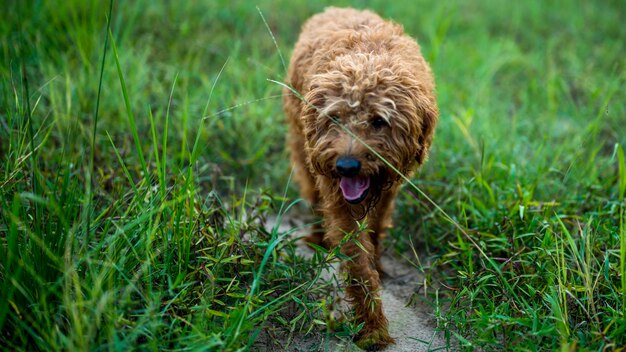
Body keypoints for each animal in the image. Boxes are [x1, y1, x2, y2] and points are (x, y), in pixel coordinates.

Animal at [284, 6, 438, 350]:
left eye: (379, 121)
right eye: (334, 118)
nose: (347, 166)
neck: (369, 58)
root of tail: (337, 8)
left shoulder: (390, 183)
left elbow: (376, 228)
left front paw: (377, 263)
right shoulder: (337, 195)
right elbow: (357, 263)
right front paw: (373, 328)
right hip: (304, 152)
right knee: (313, 196)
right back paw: (317, 237)